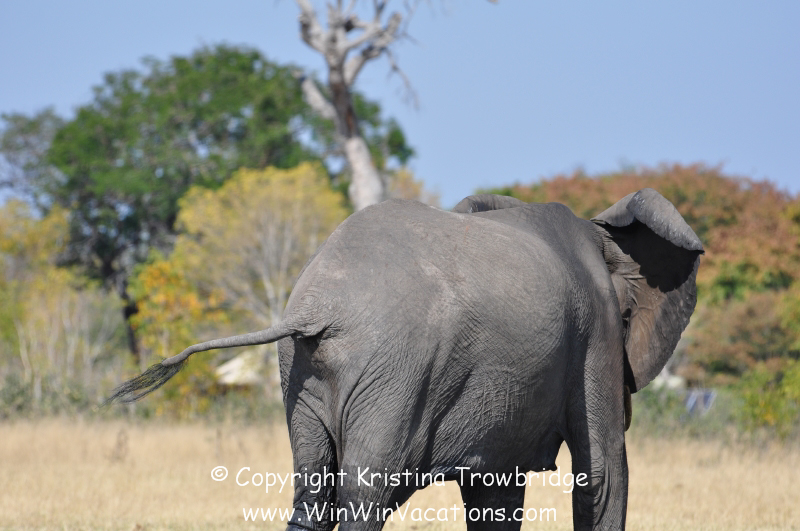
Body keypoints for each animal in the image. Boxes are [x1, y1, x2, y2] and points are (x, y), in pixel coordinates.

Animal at [107, 188, 703, 531]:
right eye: (626, 320)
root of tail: (318, 305)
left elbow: (494, 492)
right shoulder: (592, 334)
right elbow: (602, 472)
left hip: (303, 371)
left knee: (314, 494)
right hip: (396, 371)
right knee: (365, 493)